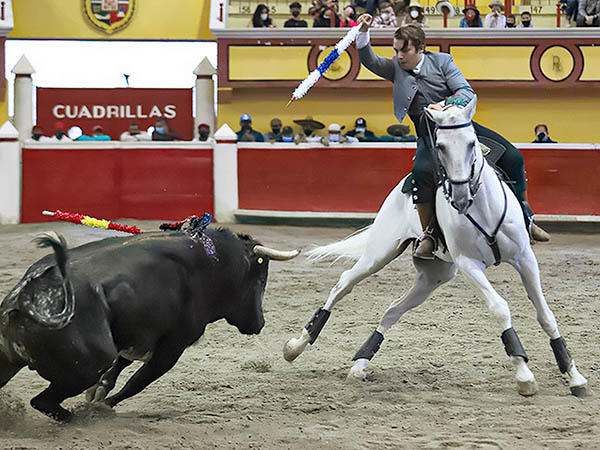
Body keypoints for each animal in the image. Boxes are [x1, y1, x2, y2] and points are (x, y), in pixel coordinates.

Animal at [0, 229, 298, 422]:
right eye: (260, 278)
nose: (259, 323)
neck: (210, 262)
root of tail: (27, 293)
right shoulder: (174, 345)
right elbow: (139, 381)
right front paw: (101, 406)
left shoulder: (138, 335)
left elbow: (119, 367)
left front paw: (98, 395)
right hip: (86, 366)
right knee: (43, 400)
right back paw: (79, 419)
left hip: (8, 361)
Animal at [284, 96, 588, 396]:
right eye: (440, 146)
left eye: (472, 143)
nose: (461, 196)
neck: (483, 209)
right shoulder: (469, 264)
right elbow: (500, 308)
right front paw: (524, 374)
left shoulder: (525, 259)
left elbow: (545, 314)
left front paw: (573, 375)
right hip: (380, 253)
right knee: (344, 283)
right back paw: (297, 345)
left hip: (434, 276)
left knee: (392, 309)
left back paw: (359, 365)